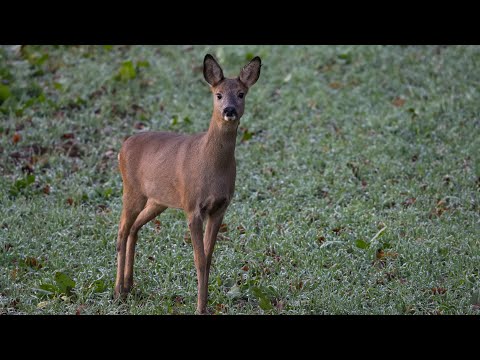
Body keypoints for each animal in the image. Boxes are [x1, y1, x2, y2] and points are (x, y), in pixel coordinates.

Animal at [114, 52, 260, 312]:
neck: (210, 164)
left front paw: (205, 305)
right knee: (121, 231)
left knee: (133, 227)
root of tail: (122, 148)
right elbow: (199, 259)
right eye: (218, 94)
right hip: (131, 190)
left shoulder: (220, 208)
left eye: (241, 93)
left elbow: (208, 258)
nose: (229, 109)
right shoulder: (193, 207)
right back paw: (117, 291)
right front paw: (200, 308)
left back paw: (129, 286)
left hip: (157, 200)